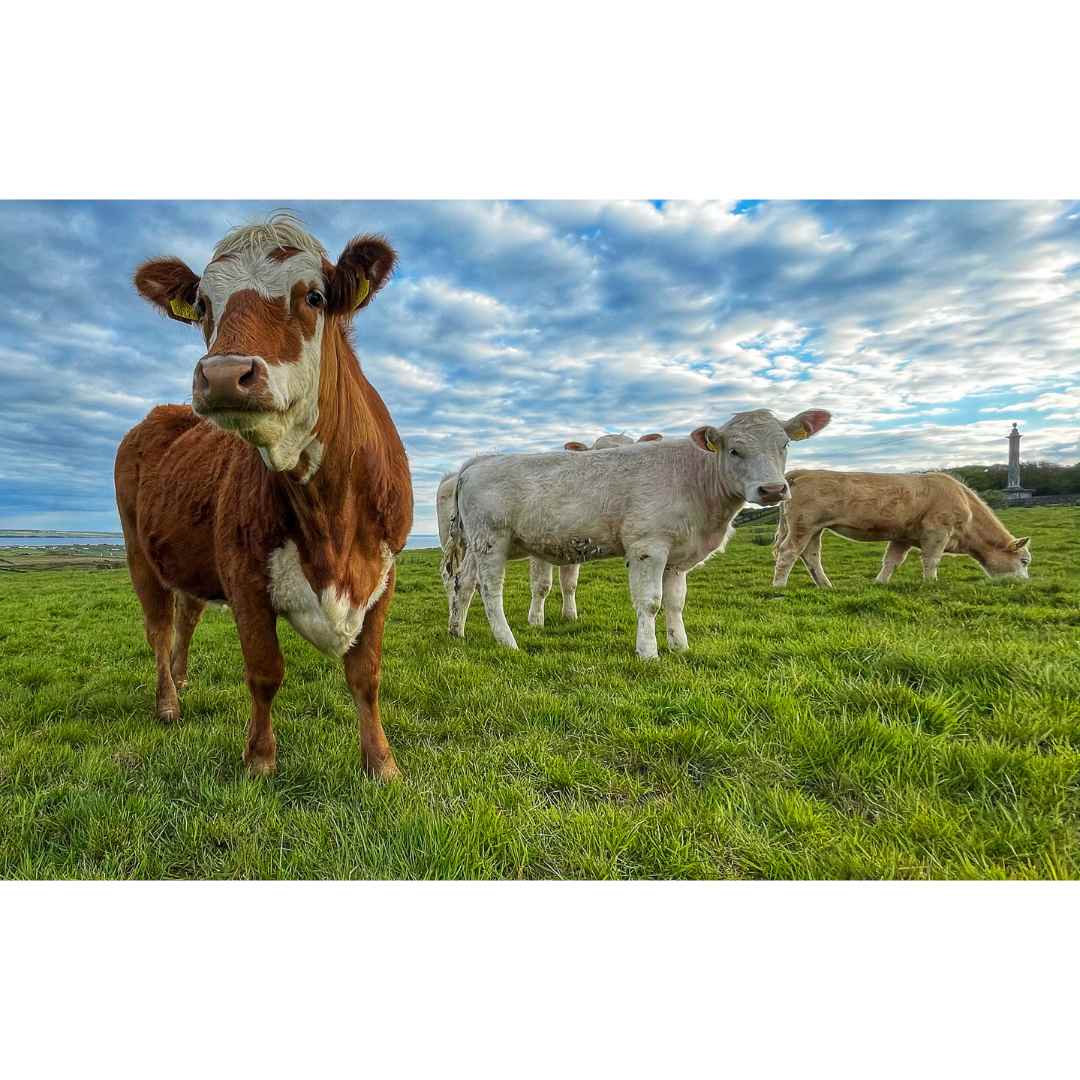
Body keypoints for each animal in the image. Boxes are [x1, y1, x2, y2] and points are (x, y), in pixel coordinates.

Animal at [114, 213, 412, 779]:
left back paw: (181, 679)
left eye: (314, 296)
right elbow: (265, 671)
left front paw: (381, 763)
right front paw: (259, 759)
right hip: (138, 551)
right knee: (158, 626)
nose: (222, 374)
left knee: (186, 614)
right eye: (203, 306)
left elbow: (367, 675)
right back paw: (168, 701)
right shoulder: (243, 575)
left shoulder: (383, 572)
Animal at [441, 408, 831, 659]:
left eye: (784, 445)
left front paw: (680, 646)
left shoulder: (678, 556)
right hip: (492, 540)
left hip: (475, 545)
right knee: (490, 591)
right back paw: (507, 641)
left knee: (463, 584)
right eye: (734, 450)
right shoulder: (649, 546)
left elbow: (675, 603)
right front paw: (649, 652)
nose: (773, 490)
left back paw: (457, 631)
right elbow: (651, 602)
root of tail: (478, 462)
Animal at [771, 470, 1031, 586]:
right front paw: (931, 583)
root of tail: (803, 473)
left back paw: (826, 585)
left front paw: (880, 583)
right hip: (803, 525)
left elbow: (891, 561)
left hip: (814, 529)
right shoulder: (937, 531)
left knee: (811, 555)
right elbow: (931, 560)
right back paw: (779, 586)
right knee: (788, 552)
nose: (1025, 583)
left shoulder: (903, 537)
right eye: (1024, 561)